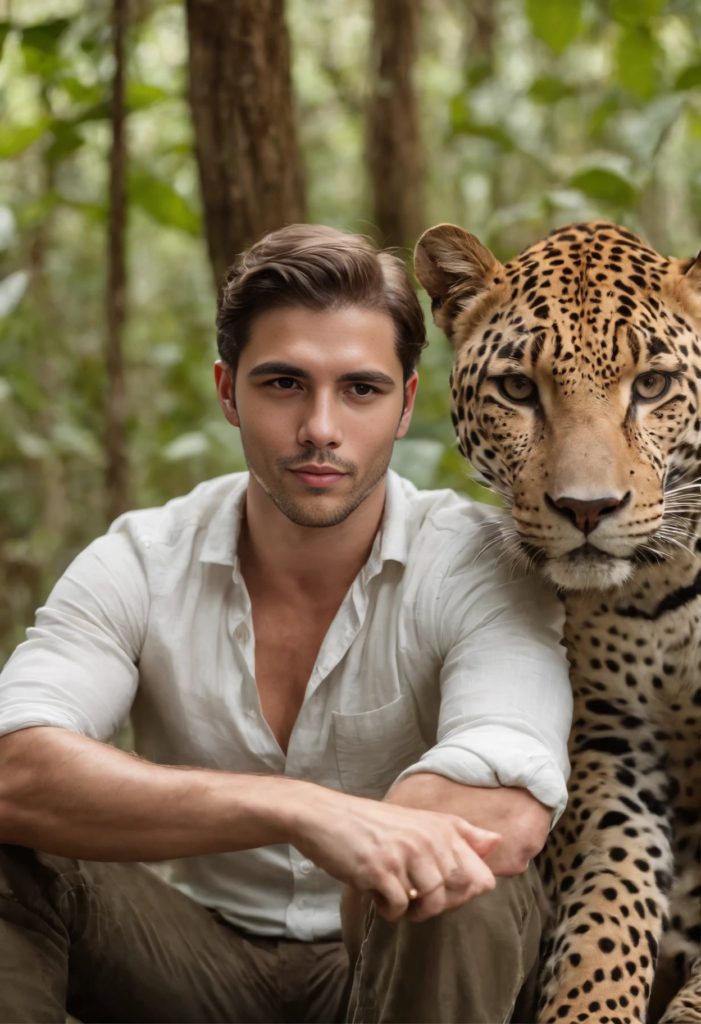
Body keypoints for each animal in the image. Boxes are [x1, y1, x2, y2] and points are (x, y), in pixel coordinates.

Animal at [413, 220, 695, 1019]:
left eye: (652, 385)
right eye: (517, 390)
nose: (587, 509)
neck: (659, 589)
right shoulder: (607, 741)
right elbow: (609, 897)